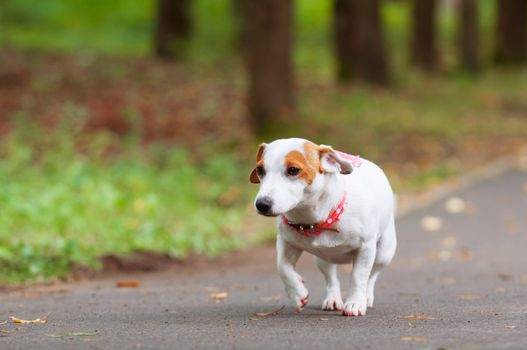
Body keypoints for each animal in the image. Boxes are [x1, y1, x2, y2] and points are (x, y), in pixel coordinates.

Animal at [251, 138, 396, 316]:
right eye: (260, 170)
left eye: (293, 170)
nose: (262, 204)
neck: (315, 219)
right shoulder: (287, 243)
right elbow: (282, 267)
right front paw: (297, 293)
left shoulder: (366, 247)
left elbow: (359, 276)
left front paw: (355, 302)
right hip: (323, 259)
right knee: (331, 277)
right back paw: (333, 298)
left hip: (383, 254)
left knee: (372, 275)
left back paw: (366, 297)